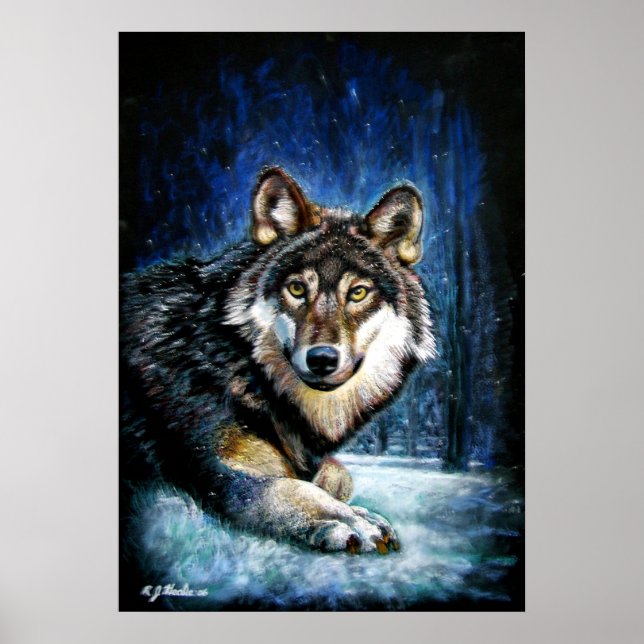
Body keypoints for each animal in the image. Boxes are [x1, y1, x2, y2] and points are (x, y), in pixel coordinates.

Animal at [121, 167, 435, 556]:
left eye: (358, 292)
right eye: (297, 289)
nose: (322, 359)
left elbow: (336, 475)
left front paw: (356, 509)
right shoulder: (221, 474)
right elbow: (291, 487)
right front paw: (350, 521)